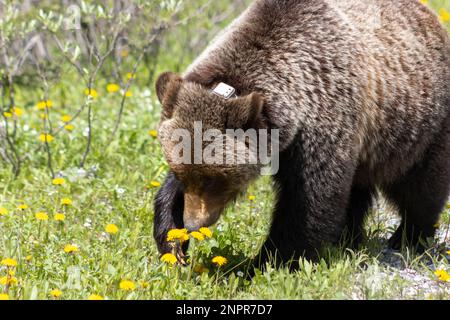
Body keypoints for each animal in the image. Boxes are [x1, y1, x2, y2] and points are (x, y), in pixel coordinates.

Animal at [152, 0, 450, 270]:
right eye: (183, 172)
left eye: (214, 178)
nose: (193, 223)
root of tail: (430, 16)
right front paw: (172, 243)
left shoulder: (322, 119)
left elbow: (309, 202)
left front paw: (262, 264)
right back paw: (348, 239)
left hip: (419, 126)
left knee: (421, 186)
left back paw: (407, 237)